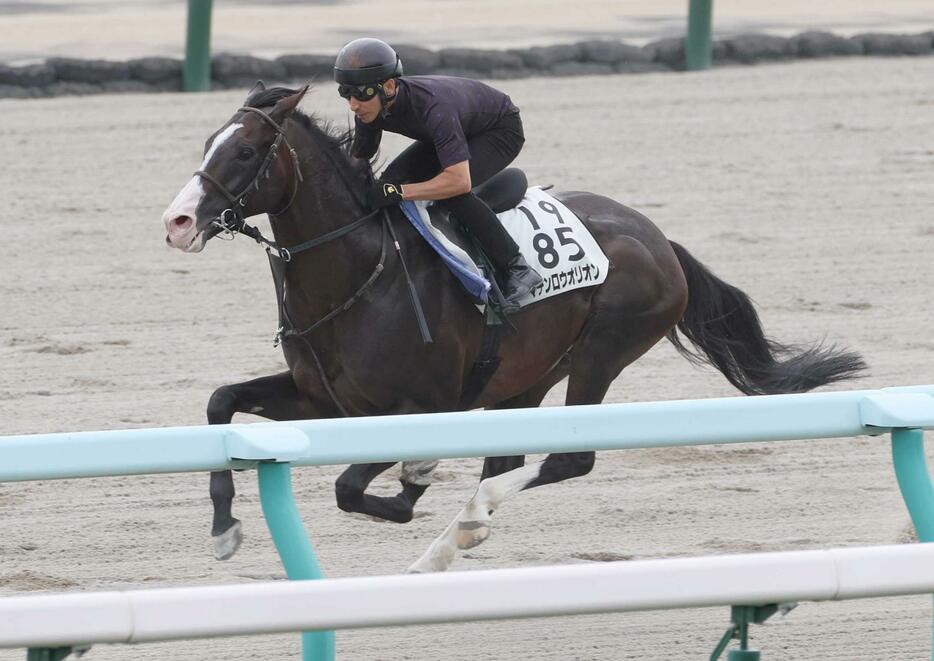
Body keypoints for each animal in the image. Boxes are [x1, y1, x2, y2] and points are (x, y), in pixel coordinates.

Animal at [161, 85, 872, 572]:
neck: (360, 273)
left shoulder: (419, 408)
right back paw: (456, 535)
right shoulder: (322, 400)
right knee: (513, 457)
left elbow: (353, 487)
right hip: (525, 376)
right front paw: (224, 528)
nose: (177, 222)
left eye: (246, 150)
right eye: (207, 144)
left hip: (601, 353)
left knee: (567, 459)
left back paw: (463, 525)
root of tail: (658, 238)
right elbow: (220, 402)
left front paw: (416, 486)